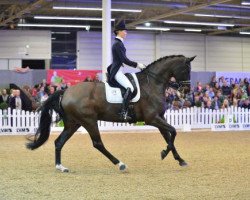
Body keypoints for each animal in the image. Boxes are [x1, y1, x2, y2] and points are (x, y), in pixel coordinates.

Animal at [27, 54, 195, 172]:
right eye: (186, 70)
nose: (186, 90)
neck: (152, 84)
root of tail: (66, 91)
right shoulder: (152, 118)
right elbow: (173, 132)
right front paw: (164, 153)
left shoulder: (160, 117)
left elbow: (169, 137)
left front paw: (179, 159)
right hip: (89, 121)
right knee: (97, 143)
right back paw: (120, 164)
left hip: (73, 123)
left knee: (59, 142)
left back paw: (60, 167)